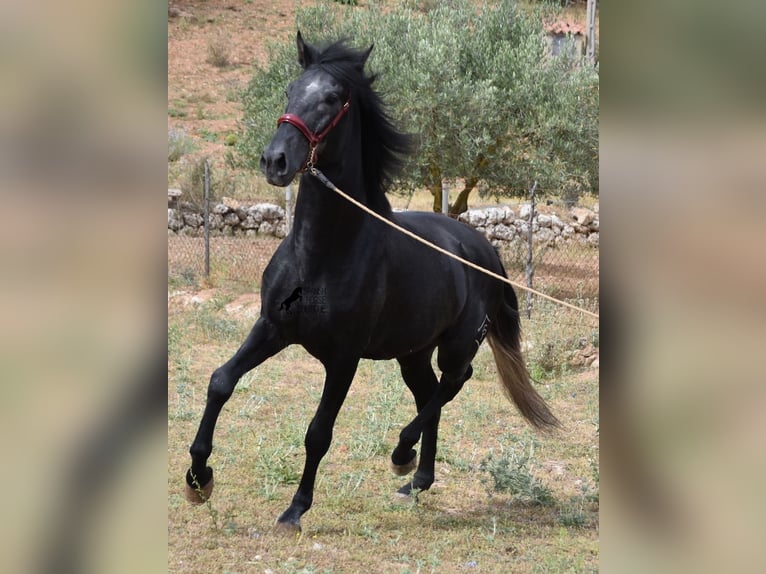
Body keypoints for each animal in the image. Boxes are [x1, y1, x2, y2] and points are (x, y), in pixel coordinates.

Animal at [183, 32, 560, 536]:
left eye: (332, 98)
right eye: (289, 90)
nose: (274, 161)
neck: (320, 255)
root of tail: (484, 249)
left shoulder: (343, 358)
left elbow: (318, 432)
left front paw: (294, 510)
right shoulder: (272, 328)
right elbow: (221, 382)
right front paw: (198, 479)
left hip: (457, 343)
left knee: (452, 382)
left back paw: (402, 453)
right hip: (412, 351)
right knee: (428, 392)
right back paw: (417, 478)